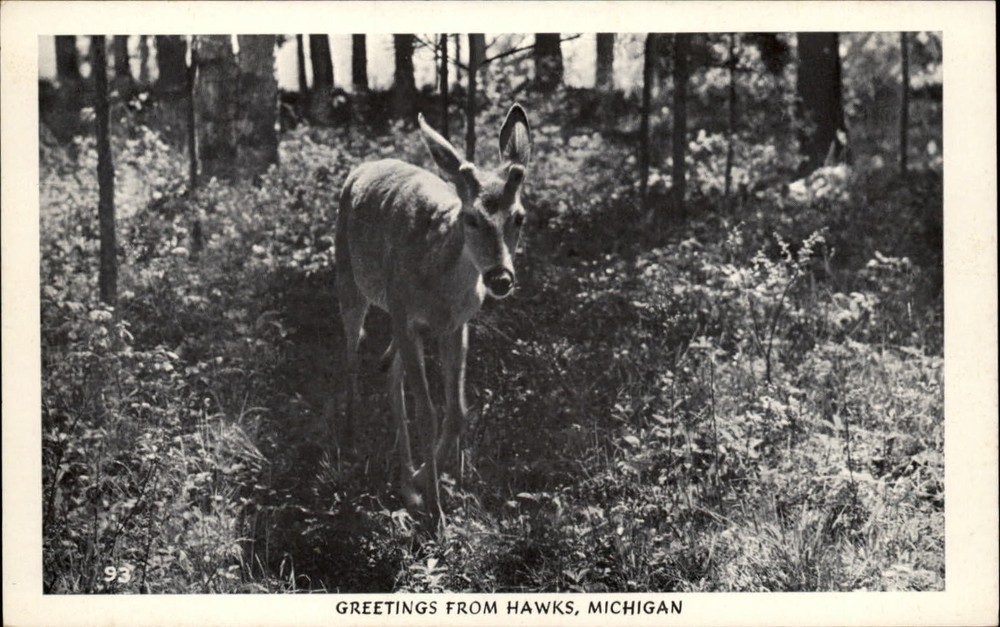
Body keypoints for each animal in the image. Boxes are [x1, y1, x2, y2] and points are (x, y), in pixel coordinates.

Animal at [335, 104, 531, 523]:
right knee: (351, 360)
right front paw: (435, 509)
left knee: (389, 374)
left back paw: (407, 483)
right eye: (471, 217)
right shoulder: (406, 313)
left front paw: (432, 480)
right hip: (350, 282)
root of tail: (365, 167)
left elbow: (456, 410)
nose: (500, 278)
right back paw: (350, 443)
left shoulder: (455, 325)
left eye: (519, 217)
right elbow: (426, 412)